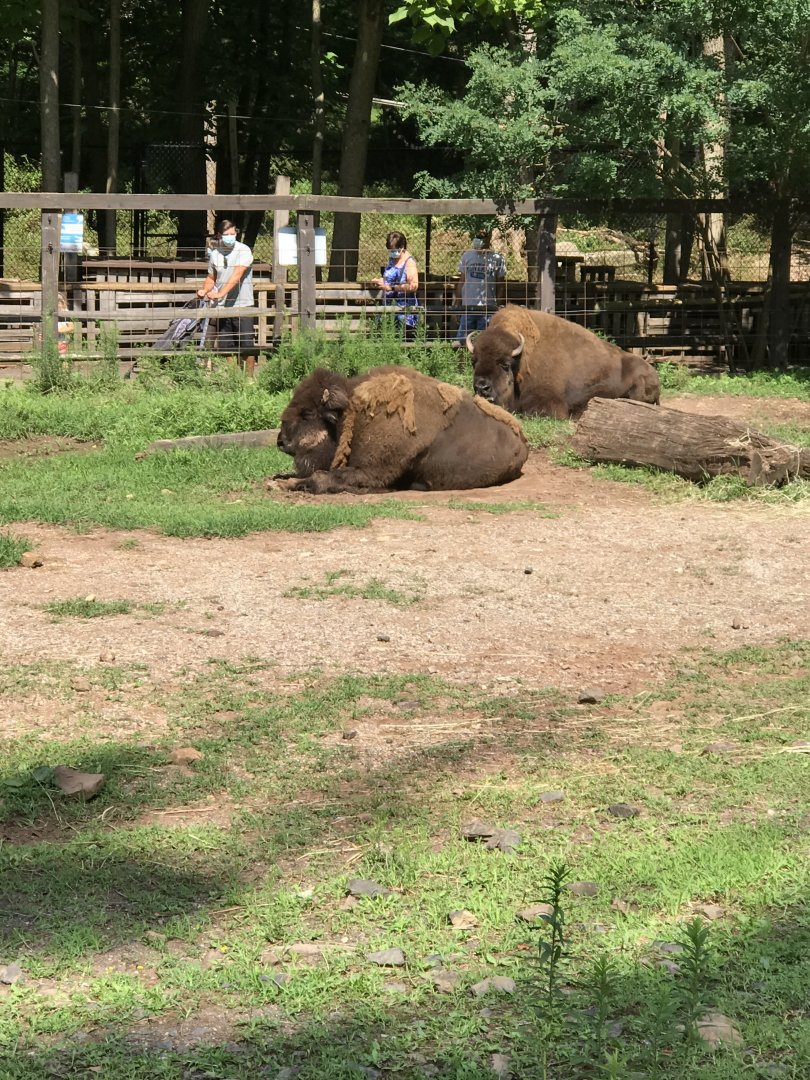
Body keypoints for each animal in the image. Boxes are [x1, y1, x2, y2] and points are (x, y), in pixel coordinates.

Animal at [276, 365, 528, 494]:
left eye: (307, 413)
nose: (281, 441)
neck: (350, 415)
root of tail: (522, 438)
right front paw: (281, 478)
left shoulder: (372, 471)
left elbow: (323, 478)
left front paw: (287, 484)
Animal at [468, 305, 660, 418]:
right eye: (474, 362)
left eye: (505, 364)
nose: (481, 387)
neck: (522, 361)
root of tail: (654, 374)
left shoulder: (552, 404)